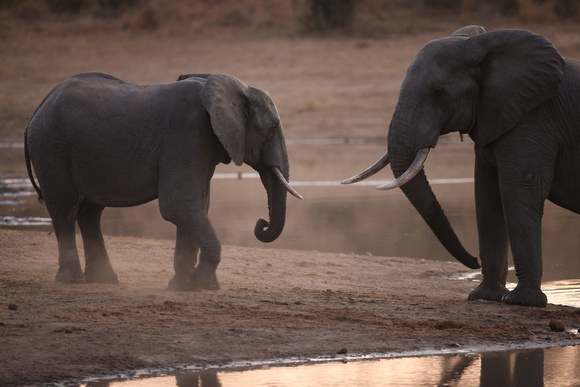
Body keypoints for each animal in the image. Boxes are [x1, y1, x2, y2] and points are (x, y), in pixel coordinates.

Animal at [23, 72, 304, 292]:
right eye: (272, 128)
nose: (262, 222)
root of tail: (38, 108)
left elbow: (196, 205)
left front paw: (184, 287)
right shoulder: (187, 133)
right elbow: (178, 204)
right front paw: (204, 284)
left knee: (90, 213)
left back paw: (105, 280)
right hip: (52, 148)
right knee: (65, 209)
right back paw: (73, 281)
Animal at [344, 25, 580, 308]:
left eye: (439, 93)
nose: (473, 261)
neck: (482, 44)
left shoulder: (534, 121)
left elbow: (516, 191)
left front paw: (522, 302)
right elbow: (487, 193)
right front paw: (484, 297)